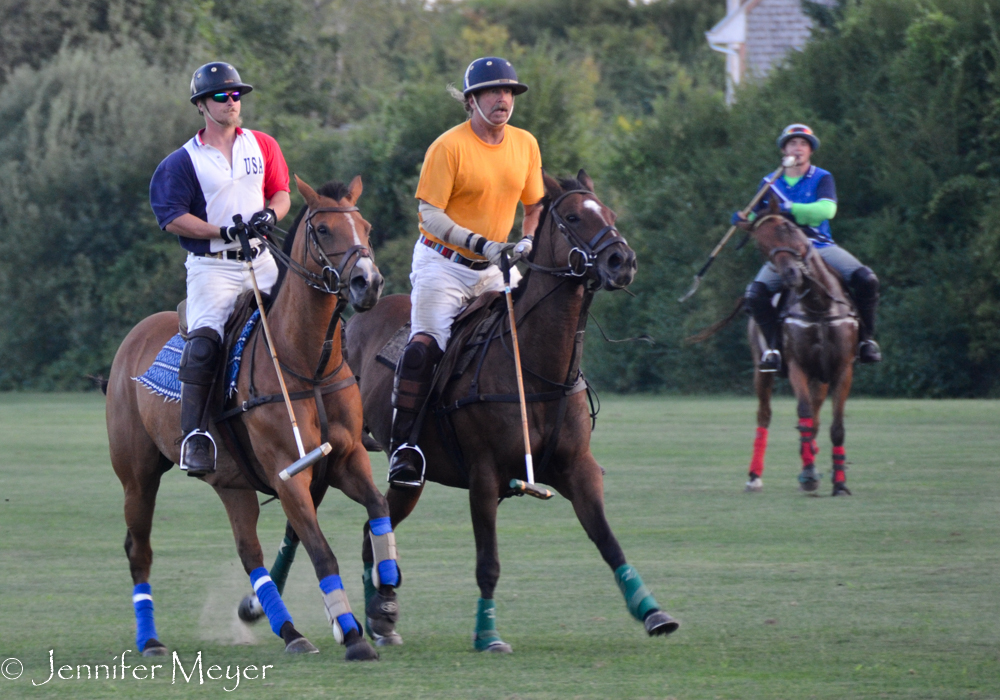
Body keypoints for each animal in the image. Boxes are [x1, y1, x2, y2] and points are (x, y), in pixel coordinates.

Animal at [105, 175, 394, 660]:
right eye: (324, 231)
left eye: (368, 228)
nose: (367, 283)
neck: (308, 365)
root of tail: (134, 335)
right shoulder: (288, 472)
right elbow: (321, 551)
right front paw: (354, 636)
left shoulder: (347, 457)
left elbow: (378, 506)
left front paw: (386, 595)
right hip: (137, 476)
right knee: (138, 549)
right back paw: (151, 640)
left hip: (232, 484)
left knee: (249, 552)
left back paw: (291, 631)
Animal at [254, 172, 680, 652]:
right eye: (572, 217)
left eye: (608, 212)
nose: (622, 260)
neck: (535, 367)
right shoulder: (484, 474)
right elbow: (488, 561)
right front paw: (488, 634)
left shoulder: (578, 468)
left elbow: (608, 540)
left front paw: (652, 611)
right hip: (331, 459)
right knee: (301, 529)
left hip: (408, 480)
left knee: (369, 532)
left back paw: (382, 618)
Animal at [740, 194, 856, 494]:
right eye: (761, 245)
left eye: (788, 228)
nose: (792, 274)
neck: (819, 305)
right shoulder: (796, 366)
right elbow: (802, 415)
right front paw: (809, 474)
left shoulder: (842, 369)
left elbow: (836, 426)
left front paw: (840, 483)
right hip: (762, 370)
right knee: (765, 415)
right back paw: (755, 476)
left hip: (821, 377)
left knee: (816, 417)